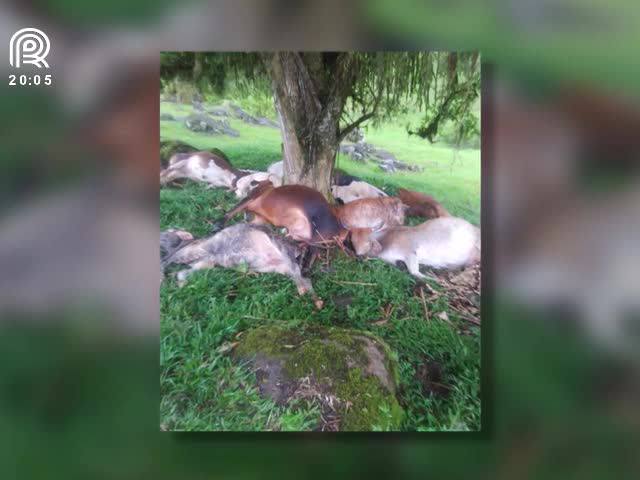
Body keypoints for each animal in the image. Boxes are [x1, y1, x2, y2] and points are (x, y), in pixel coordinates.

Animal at [160, 224, 320, 308]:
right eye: (308, 258)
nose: (308, 270)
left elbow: (302, 279)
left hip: (206, 261)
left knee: (181, 272)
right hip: (196, 252)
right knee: (165, 261)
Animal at [350, 218, 480, 278]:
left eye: (368, 242)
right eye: (352, 240)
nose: (358, 254)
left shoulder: (410, 251)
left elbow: (414, 271)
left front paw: (432, 278)